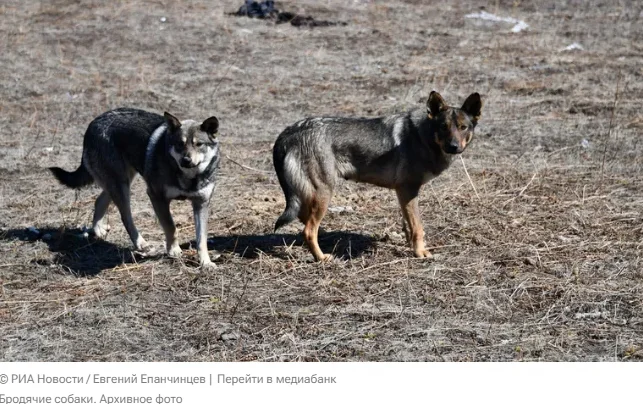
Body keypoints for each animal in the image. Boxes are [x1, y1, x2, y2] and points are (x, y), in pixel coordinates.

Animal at [49, 109, 221, 270]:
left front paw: (206, 263)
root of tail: (94, 123)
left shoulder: (201, 203)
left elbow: (201, 239)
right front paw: (173, 251)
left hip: (120, 182)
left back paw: (98, 230)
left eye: (199, 144)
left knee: (99, 201)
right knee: (125, 217)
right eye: (180, 144)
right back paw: (140, 243)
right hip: (121, 186)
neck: (188, 178)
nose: (186, 160)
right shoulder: (156, 197)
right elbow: (171, 227)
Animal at [272, 91, 484, 262]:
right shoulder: (408, 189)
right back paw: (322, 257)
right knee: (308, 230)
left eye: (463, 127)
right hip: (324, 192)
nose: (453, 147)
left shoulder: (403, 194)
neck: (423, 137)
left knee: (305, 221)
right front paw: (420, 253)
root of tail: (289, 132)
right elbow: (418, 227)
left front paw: (409, 246)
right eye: (443, 127)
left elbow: (408, 225)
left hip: (311, 195)